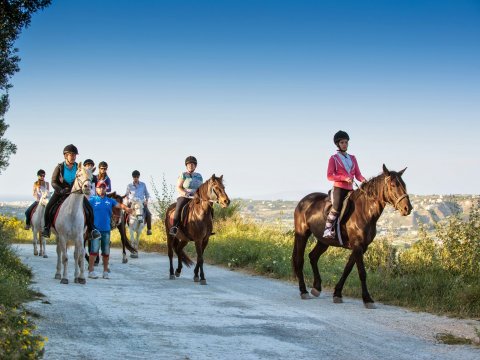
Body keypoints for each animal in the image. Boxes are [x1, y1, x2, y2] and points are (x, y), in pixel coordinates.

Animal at [292, 165, 412, 308]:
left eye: (404, 184)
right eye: (393, 185)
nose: (407, 208)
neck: (364, 212)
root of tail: (303, 201)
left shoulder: (361, 247)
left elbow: (348, 269)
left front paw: (337, 293)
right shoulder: (358, 246)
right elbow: (362, 273)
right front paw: (367, 299)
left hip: (323, 241)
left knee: (313, 257)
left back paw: (316, 287)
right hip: (302, 235)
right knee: (299, 260)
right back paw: (303, 291)